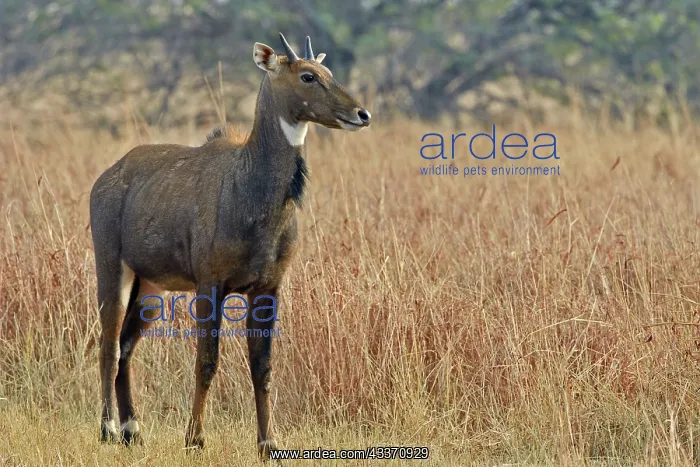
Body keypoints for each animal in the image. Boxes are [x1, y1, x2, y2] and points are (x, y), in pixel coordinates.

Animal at [89, 33, 371, 458]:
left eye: (328, 71)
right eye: (307, 76)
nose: (360, 114)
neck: (251, 190)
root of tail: (105, 178)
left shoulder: (268, 287)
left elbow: (263, 366)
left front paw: (269, 443)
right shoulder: (211, 284)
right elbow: (207, 360)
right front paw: (195, 439)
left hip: (150, 287)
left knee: (125, 346)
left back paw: (132, 430)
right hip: (111, 267)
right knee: (108, 345)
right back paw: (107, 428)